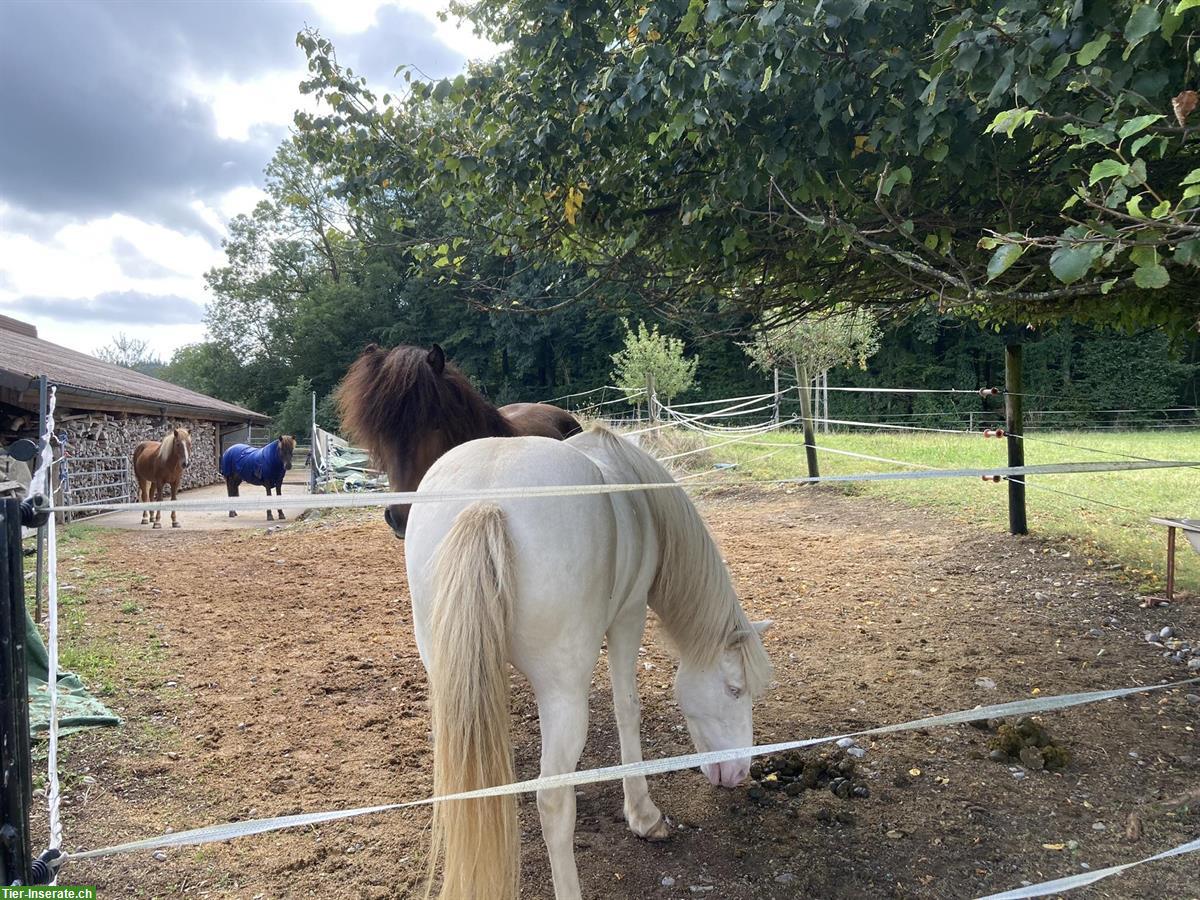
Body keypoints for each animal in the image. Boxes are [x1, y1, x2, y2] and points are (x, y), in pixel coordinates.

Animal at [400, 427, 777, 897]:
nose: (740, 771)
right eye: (734, 690)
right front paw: (643, 814)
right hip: (562, 695)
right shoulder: (629, 616)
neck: (637, 494)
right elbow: (626, 709)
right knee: (553, 799)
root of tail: (486, 502)